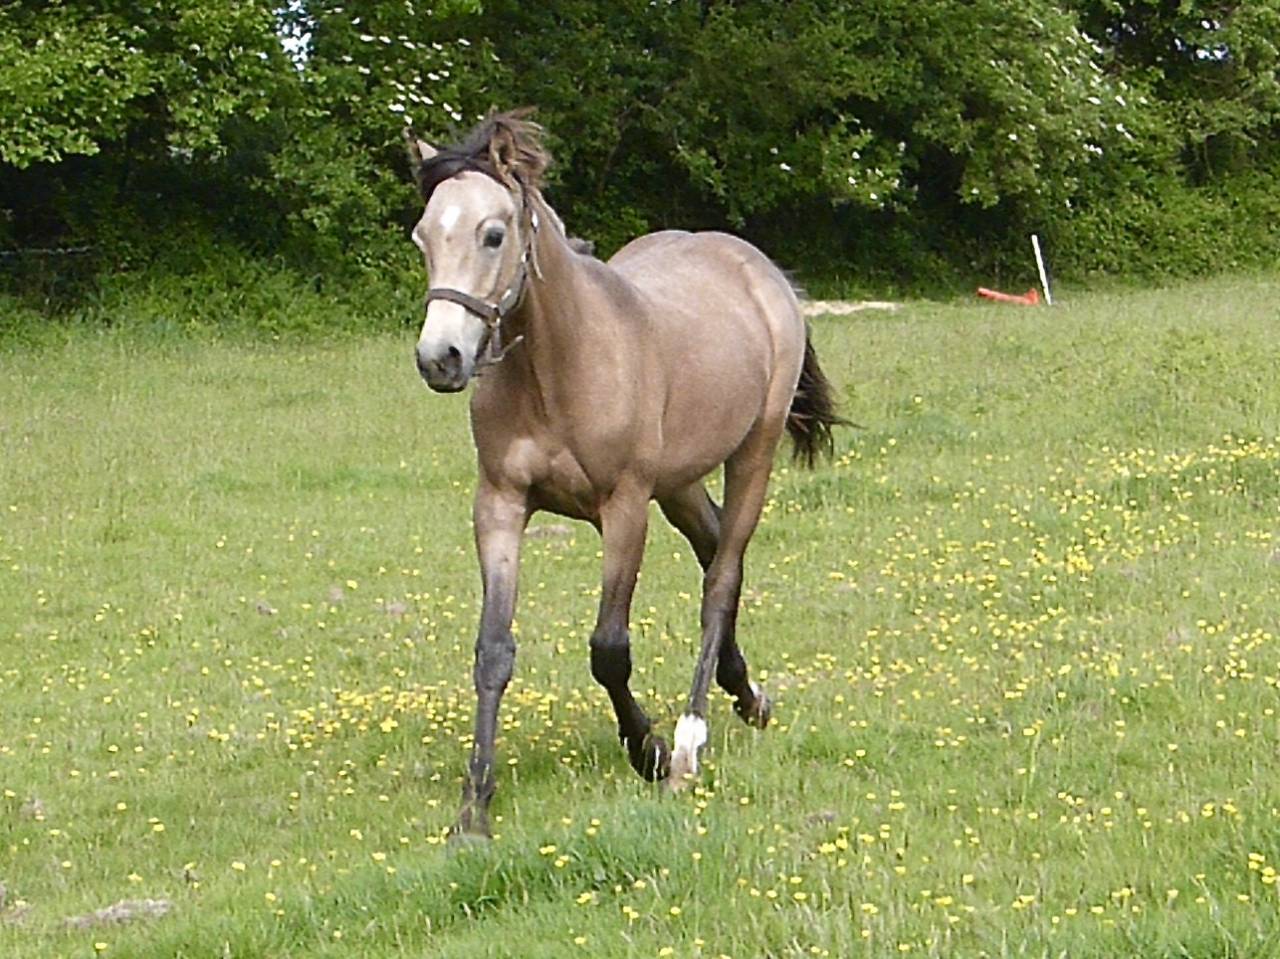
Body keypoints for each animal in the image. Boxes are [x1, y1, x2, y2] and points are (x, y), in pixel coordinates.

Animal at [406, 110, 844, 838]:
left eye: (493, 234)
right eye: (422, 236)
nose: (441, 358)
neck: (560, 364)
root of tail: (756, 267)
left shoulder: (625, 507)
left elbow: (608, 647)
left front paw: (651, 751)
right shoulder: (499, 504)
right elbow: (493, 650)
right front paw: (474, 807)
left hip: (750, 455)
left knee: (721, 579)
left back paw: (692, 739)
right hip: (681, 482)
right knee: (713, 548)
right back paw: (746, 694)